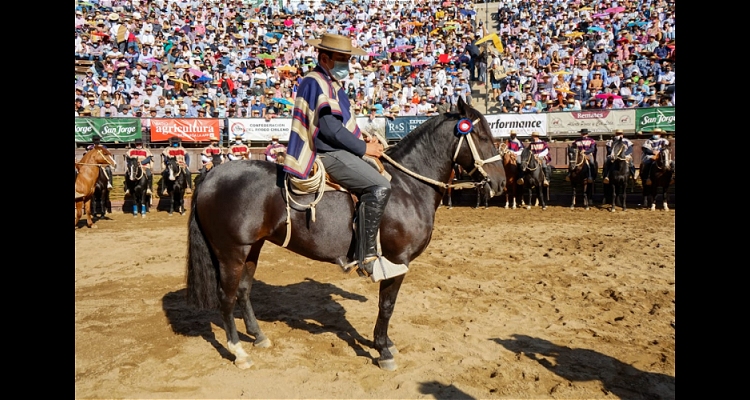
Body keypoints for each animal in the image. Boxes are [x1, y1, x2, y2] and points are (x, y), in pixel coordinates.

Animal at [183, 97, 506, 372]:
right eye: (482, 137)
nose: (500, 182)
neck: (407, 187)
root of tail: (211, 175)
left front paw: (385, 343)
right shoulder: (396, 261)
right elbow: (387, 306)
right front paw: (383, 350)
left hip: (253, 248)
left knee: (243, 291)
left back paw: (259, 337)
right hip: (231, 253)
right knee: (226, 297)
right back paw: (239, 352)